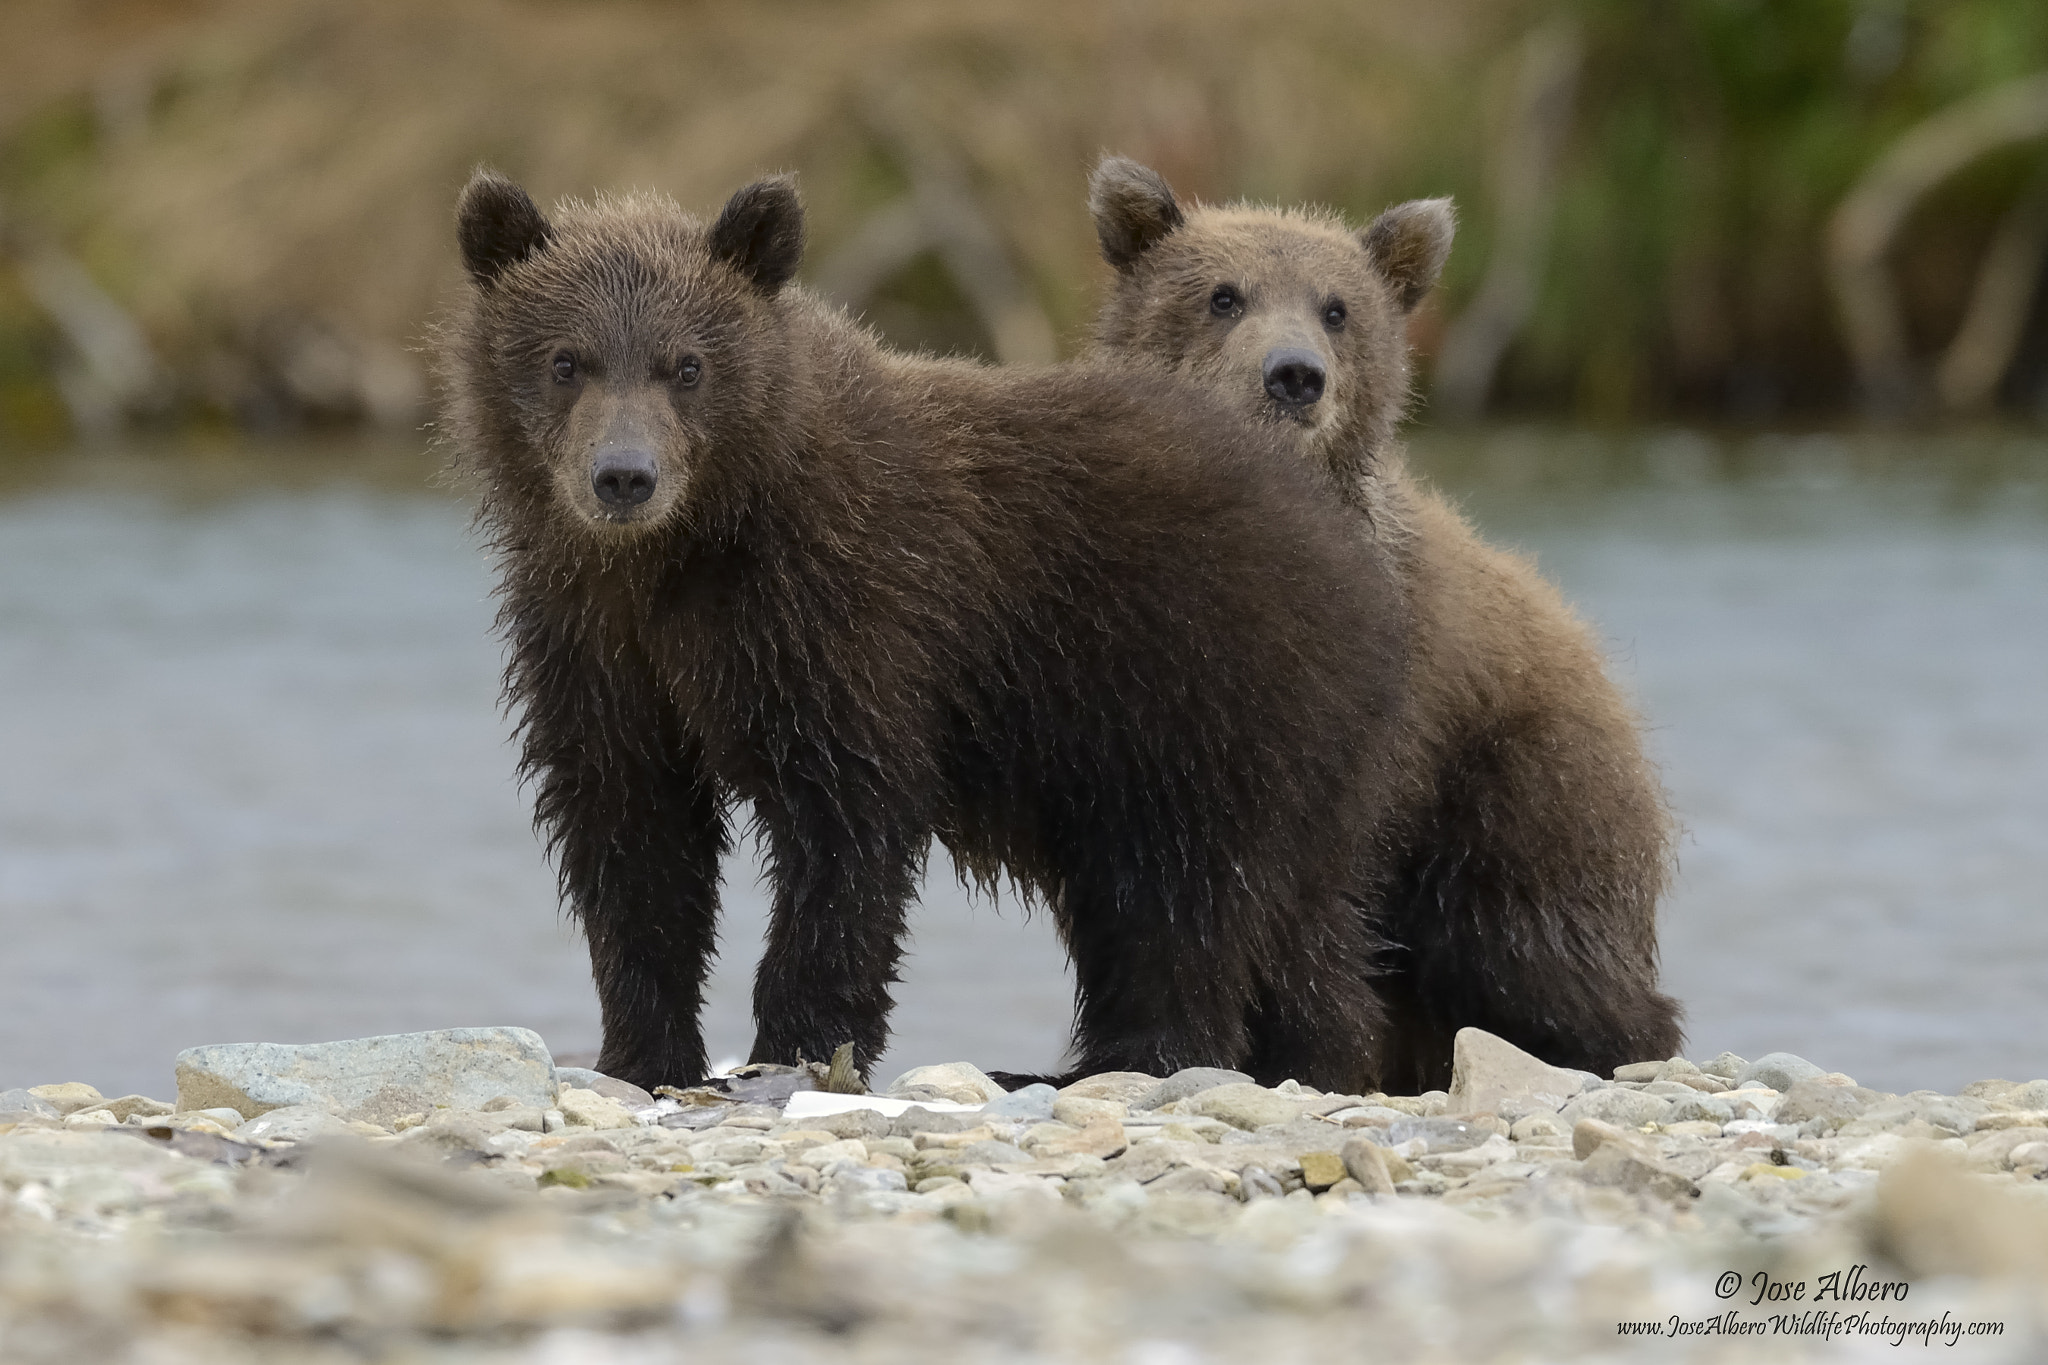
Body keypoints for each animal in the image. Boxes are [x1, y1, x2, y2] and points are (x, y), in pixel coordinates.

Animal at [439, 168, 1418, 1094]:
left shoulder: (839, 610)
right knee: (1275, 917)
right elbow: (632, 834)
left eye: (686, 365)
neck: (684, 552)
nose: (623, 476)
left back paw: (1134, 1055)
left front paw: (797, 1045)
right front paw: (643, 1053)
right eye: (567, 360)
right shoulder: (594, 640)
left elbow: (843, 826)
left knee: (1188, 889)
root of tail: (1349, 540)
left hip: (1203, 684)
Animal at [1087, 156, 1683, 1089]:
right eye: (1223, 295)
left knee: (1536, 947)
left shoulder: (1387, 704)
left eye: (1336, 307)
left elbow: (1321, 883)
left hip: (1521, 794)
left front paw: (1317, 1050)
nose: (1295, 374)